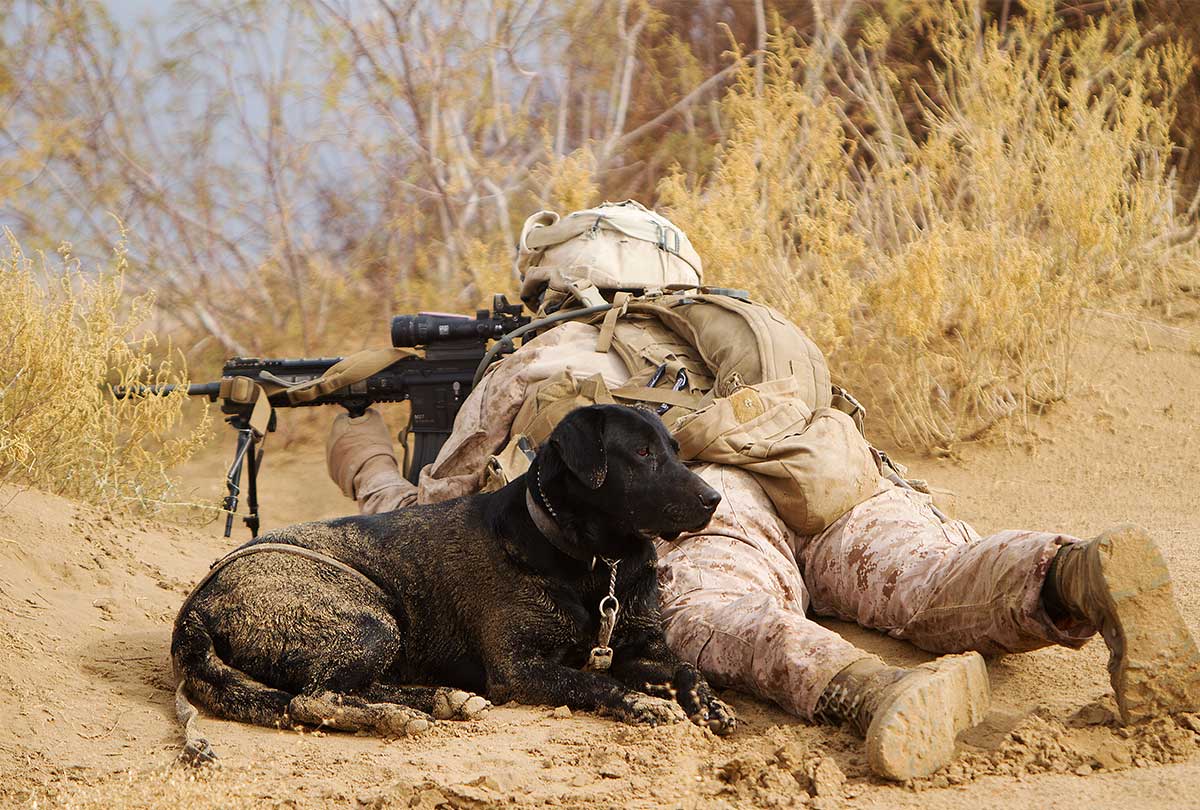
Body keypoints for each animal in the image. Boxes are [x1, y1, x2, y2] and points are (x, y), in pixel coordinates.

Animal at [169, 408, 729, 763]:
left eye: (674, 449)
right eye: (641, 452)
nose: (714, 499)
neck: (596, 562)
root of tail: (196, 607)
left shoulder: (640, 648)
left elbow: (687, 668)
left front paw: (706, 703)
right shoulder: (520, 669)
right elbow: (595, 682)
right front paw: (644, 704)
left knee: (348, 689)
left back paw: (443, 699)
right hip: (371, 621)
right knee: (313, 700)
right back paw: (398, 717)